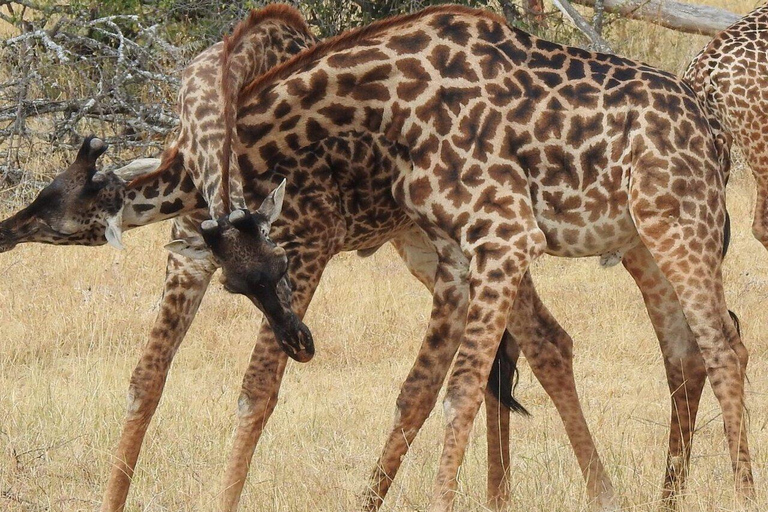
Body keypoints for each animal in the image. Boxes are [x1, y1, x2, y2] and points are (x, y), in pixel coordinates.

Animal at [192, 5, 752, 512]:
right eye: (232, 286)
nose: (298, 342)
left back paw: (743, 495)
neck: (386, 98)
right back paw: (668, 499)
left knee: (723, 346)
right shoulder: (456, 254)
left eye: (282, 265)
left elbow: (460, 389)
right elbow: (429, 388)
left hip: (681, 223)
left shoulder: (506, 235)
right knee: (687, 351)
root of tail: (715, 129)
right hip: (644, 239)